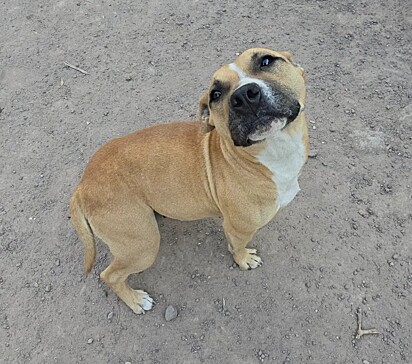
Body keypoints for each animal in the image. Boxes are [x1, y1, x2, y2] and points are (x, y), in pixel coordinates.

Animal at [71, 48, 308, 314]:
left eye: (266, 61)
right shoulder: (238, 228)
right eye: (216, 94)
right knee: (109, 275)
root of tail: (83, 185)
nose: (244, 96)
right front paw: (244, 260)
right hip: (142, 244)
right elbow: (237, 247)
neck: (274, 153)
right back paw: (135, 300)